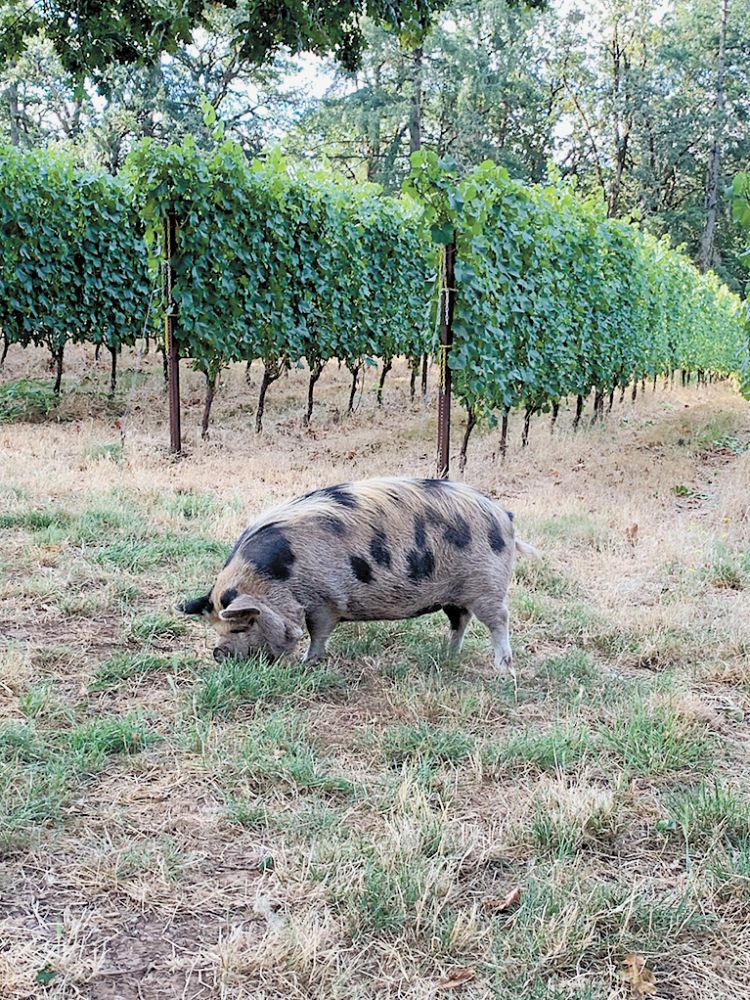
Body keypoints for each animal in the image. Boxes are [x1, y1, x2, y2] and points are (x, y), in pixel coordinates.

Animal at [176, 476, 540, 672]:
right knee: (460, 620)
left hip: (487, 584)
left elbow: (318, 633)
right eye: (216, 627)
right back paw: (447, 655)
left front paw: (307, 663)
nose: (218, 653)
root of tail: (504, 515)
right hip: (455, 594)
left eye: (241, 625)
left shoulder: (324, 600)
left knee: (498, 620)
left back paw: (502, 669)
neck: (280, 579)